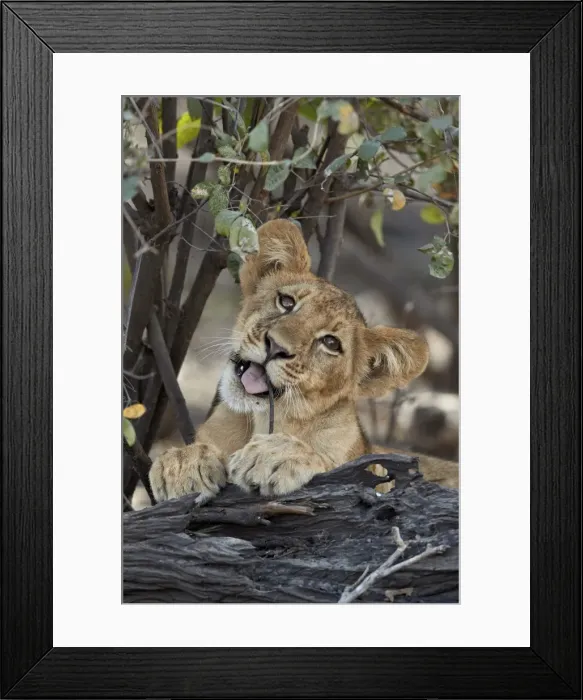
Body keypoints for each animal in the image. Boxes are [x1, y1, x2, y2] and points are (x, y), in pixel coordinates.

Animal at [150, 219, 458, 504]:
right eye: (286, 302)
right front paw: (183, 463)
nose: (275, 347)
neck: (259, 422)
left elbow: (330, 463)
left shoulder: (374, 468)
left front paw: (273, 456)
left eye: (331, 343)